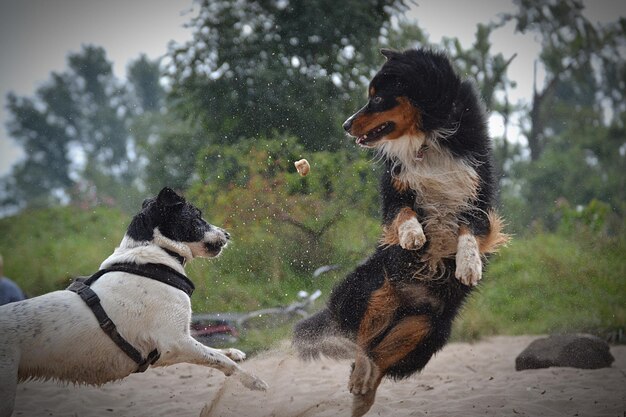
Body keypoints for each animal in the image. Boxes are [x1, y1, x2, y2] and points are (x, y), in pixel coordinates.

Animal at [0, 188, 266, 416]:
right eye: (197, 216)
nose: (228, 234)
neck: (156, 255)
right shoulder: (174, 343)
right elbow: (220, 361)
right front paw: (252, 381)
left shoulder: (173, 346)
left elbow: (216, 351)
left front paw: (233, 352)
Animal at [292, 49, 508, 416]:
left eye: (378, 97)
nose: (346, 125)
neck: (430, 140)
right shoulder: (394, 192)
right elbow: (405, 212)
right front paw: (413, 236)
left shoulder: (480, 196)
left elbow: (469, 230)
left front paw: (468, 265)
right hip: (375, 289)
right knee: (362, 344)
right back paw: (360, 380)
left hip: (427, 326)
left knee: (379, 356)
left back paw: (363, 391)